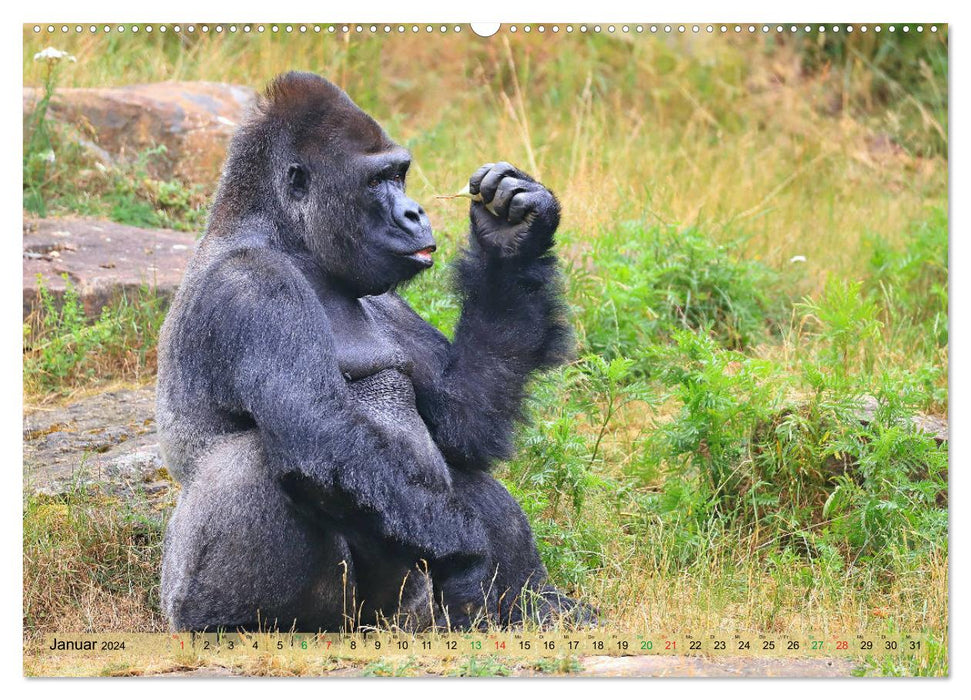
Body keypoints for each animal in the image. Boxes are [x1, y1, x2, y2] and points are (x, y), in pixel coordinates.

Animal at [157, 74, 596, 632]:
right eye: (377, 181)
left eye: (400, 176)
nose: (415, 212)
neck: (291, 242)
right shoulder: (253, 288)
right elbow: (323, 437)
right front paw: (471, 560)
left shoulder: (387, 299)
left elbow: (461, 423)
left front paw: (514, 236)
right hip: (215, 602)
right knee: (256, 463)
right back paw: (234, 624)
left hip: (406, 612)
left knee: (456, 484)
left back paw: (538, 607)